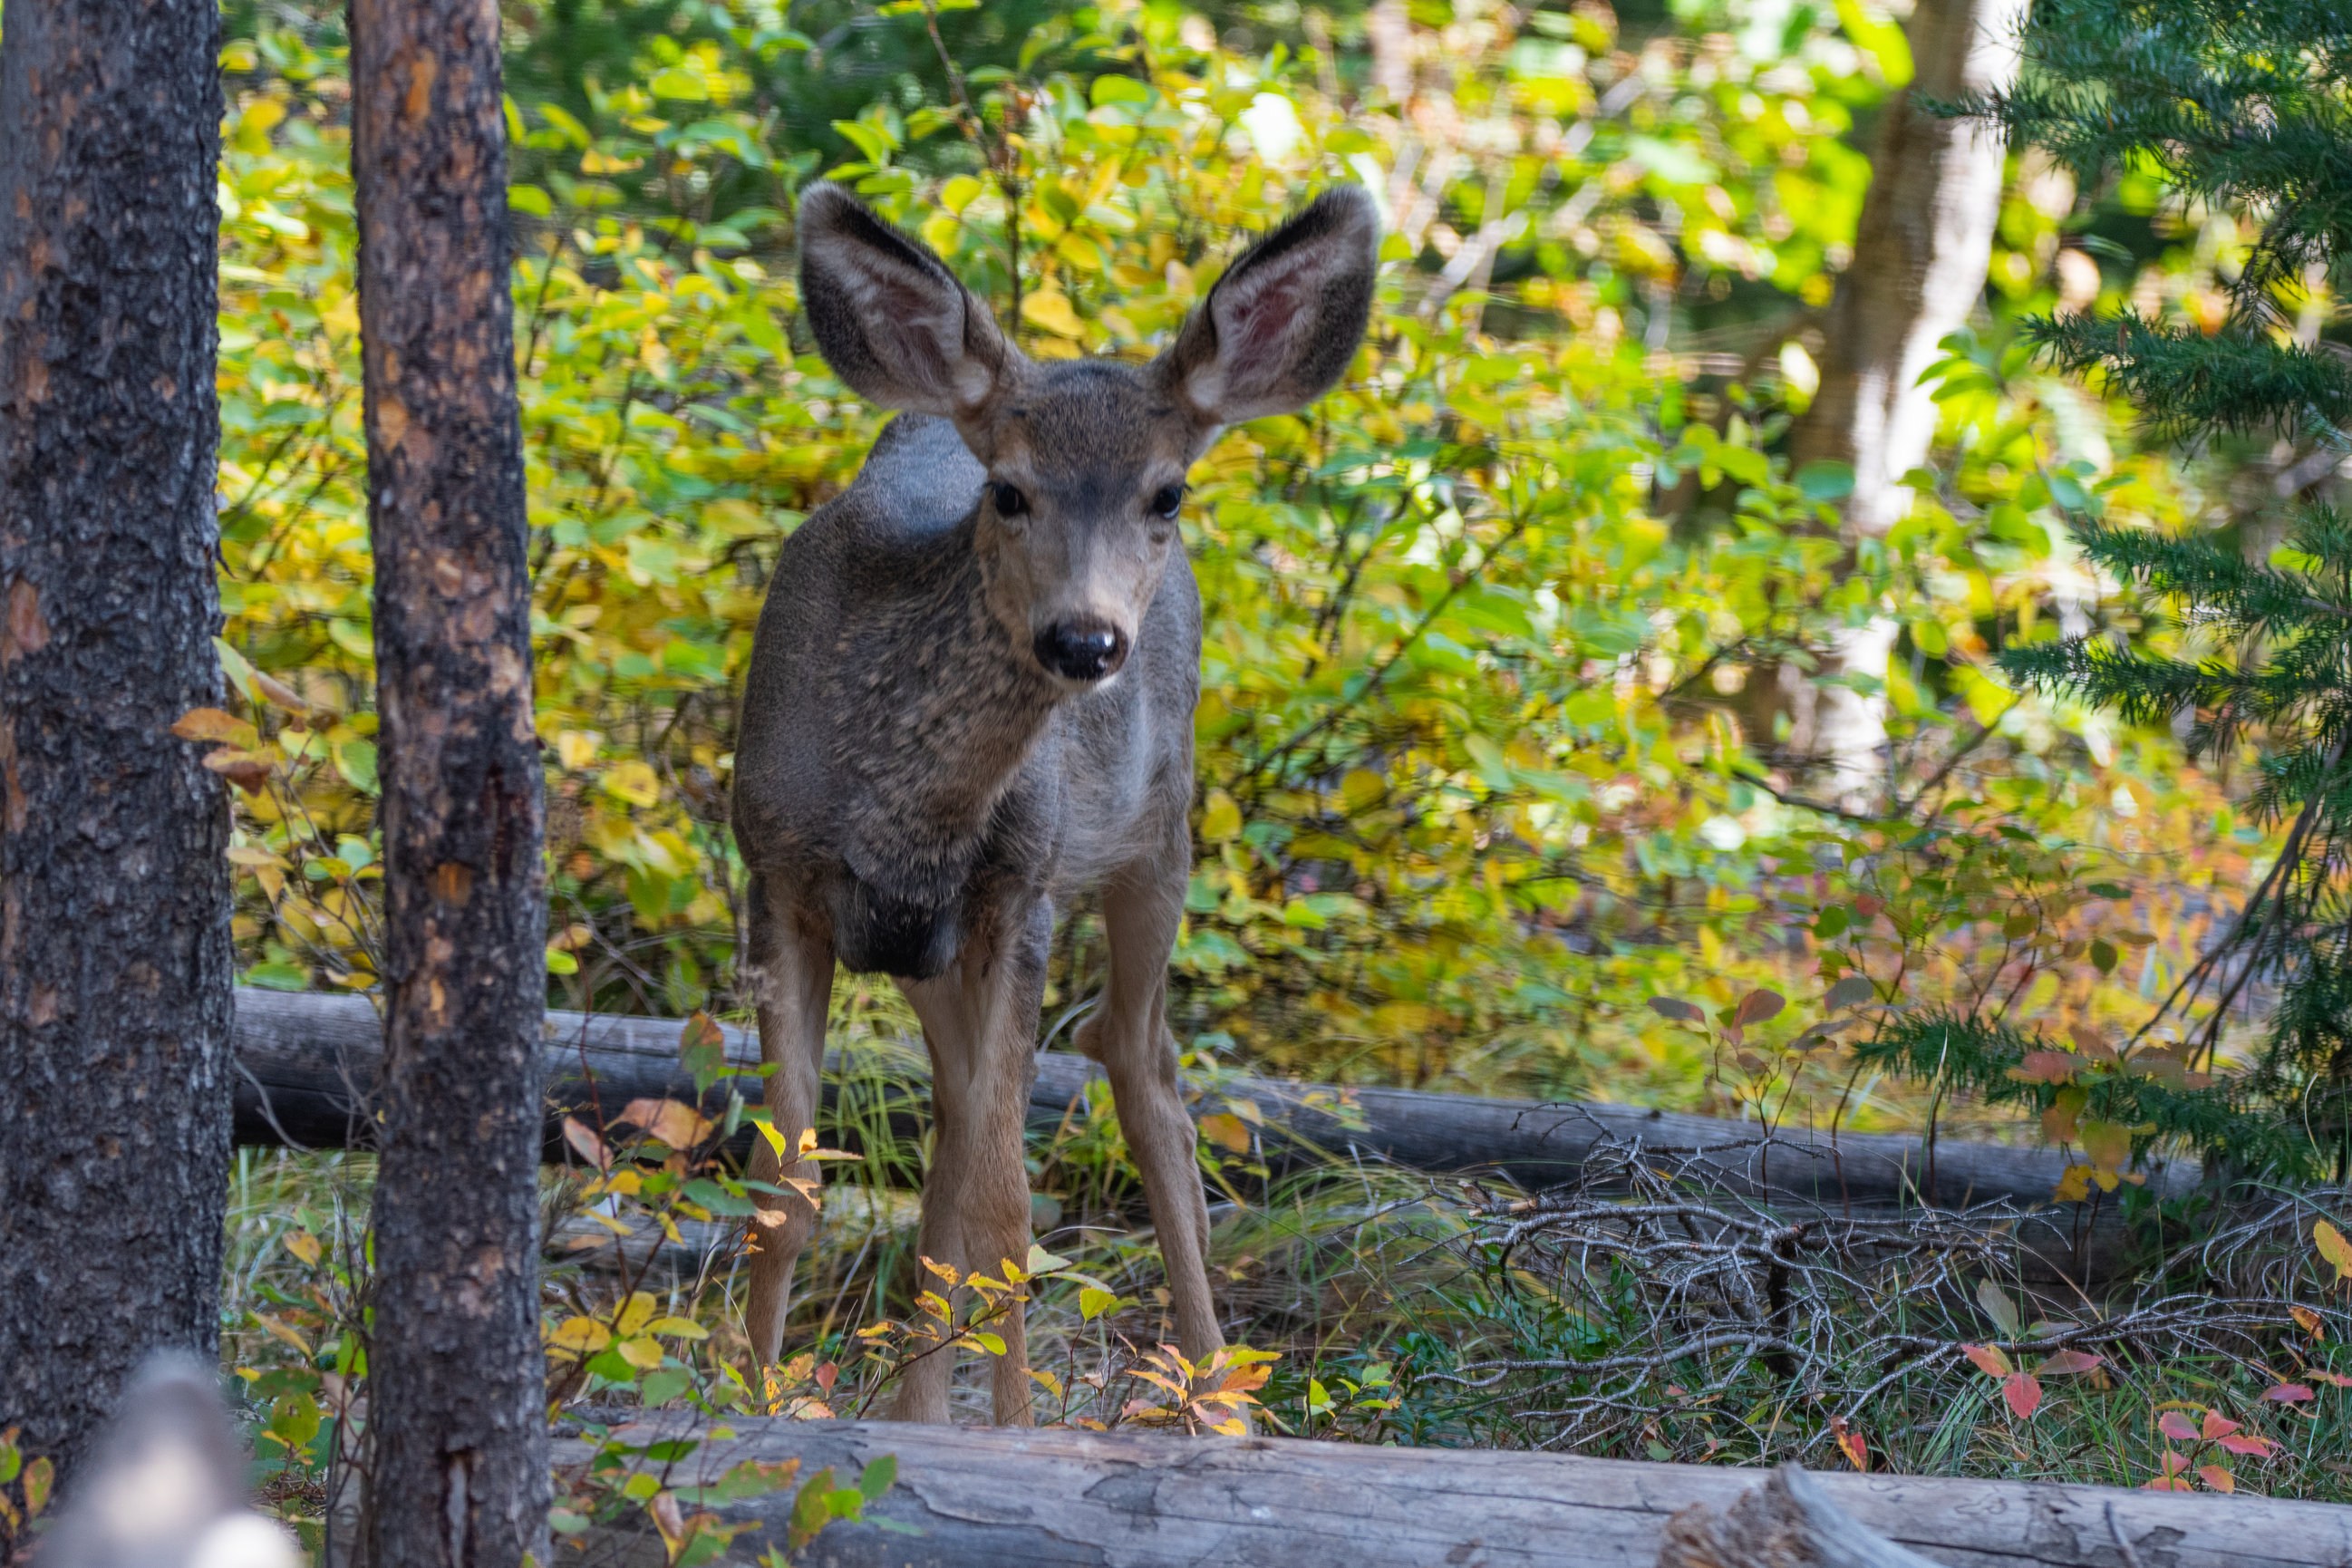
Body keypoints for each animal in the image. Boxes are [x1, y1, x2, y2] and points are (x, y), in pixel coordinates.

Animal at [730, 180, 1378, 1424]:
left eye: (1166, 492)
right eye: (1011, 492)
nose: (1085, 639)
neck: (901, 807)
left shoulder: (1021, 887)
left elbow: (1008, 1210)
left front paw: (1018, 1434)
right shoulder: (775, 872)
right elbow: (787, 1190)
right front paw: (734, 1404)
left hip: (1157, 835)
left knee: (1139, 1066)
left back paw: (1217, 1398)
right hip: (929, 950)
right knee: (955, 1121)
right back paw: (923, 1408)